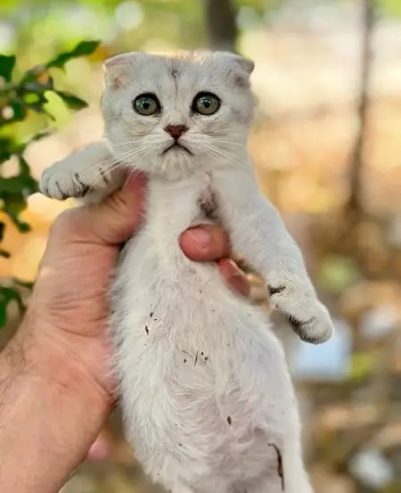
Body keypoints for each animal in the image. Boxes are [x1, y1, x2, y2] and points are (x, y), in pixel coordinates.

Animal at [39, 51, 332, 492]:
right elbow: (112, 159)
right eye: (146, 104)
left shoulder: (241, 204)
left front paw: (307, 309)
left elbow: (279, 246)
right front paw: (69, 170)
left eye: (206, 103)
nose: (176, 128)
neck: (177, 182)